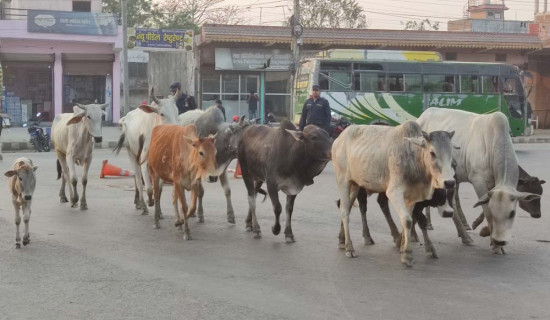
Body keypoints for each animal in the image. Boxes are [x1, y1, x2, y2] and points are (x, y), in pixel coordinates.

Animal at [114, 87, 181, 215]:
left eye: (177, 113)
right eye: (162, 114)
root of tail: (126, 118)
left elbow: (159, 189)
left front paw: (159, 211)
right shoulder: (144, 160)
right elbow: (149, 188)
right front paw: (150, 202)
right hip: (132, 153)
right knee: (138, 181)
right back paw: (142, 205)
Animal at [332, 121, 458, 266]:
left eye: (451, 153)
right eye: (432, 153)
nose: (449, 182)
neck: (414, 156)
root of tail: (339, 138)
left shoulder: (412, 197)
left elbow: (409, 220)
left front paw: (403, 247)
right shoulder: (394, 192)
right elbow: (407, 220)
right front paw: (407, 255)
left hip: (356, 185)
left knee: (346, 206)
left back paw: (342, 241)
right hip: (343, 181)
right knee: (345, 212)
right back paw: (349, 248)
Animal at [418, 109, 544, 254]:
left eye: (512, 214)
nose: (538, 214)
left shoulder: (492, 185)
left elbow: (484, 207)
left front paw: (483, 230)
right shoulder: (478, 181)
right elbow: (486, 210)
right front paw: (491, 239)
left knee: (451, 200)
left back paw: (461, 233)